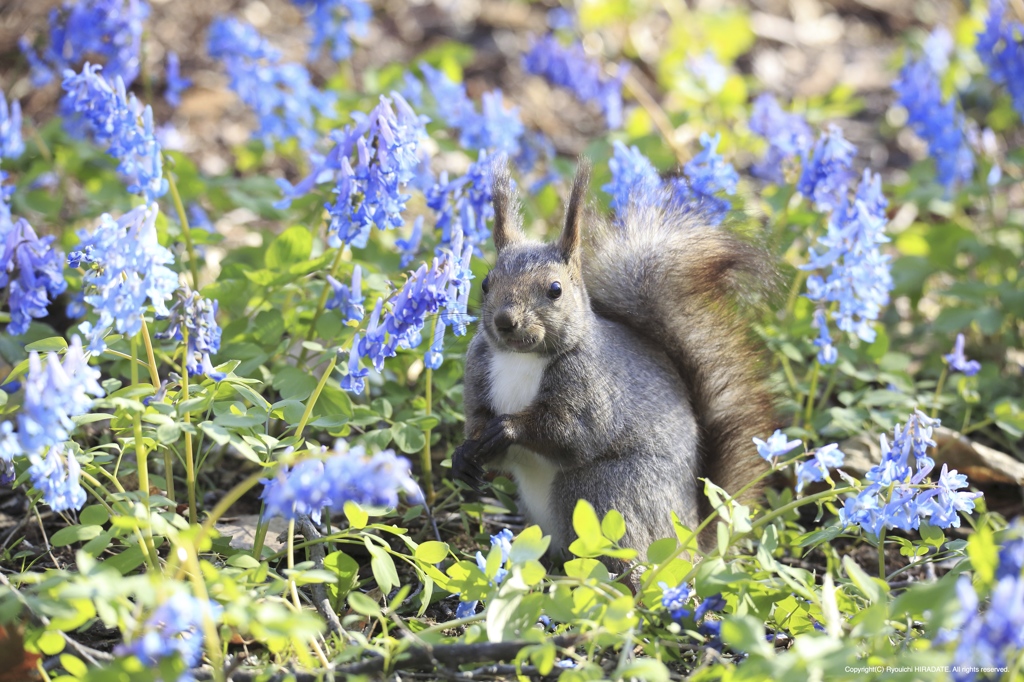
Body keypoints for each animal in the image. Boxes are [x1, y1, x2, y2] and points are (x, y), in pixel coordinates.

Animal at [452, 159, 778, 557]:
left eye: (555, 290)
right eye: (485, 284)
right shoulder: (478, 370)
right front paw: (464, 456)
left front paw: (509, 428)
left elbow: (574, 433)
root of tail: (692, 538)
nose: (504, 321)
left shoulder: (592, 389)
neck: (521, 358)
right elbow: (481, 427)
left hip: (605, 490)